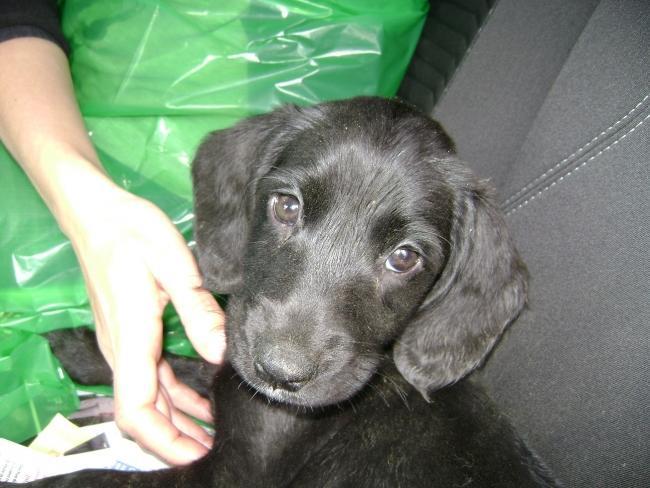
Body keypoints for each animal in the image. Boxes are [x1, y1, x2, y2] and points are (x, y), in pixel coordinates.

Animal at [19, 97, 552, 486]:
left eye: (404, 258)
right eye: (286, 206)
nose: (279, 373)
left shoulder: (228, 475)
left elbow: (94, 477)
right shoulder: (237, 358)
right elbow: (199, 362)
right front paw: (81, 348)